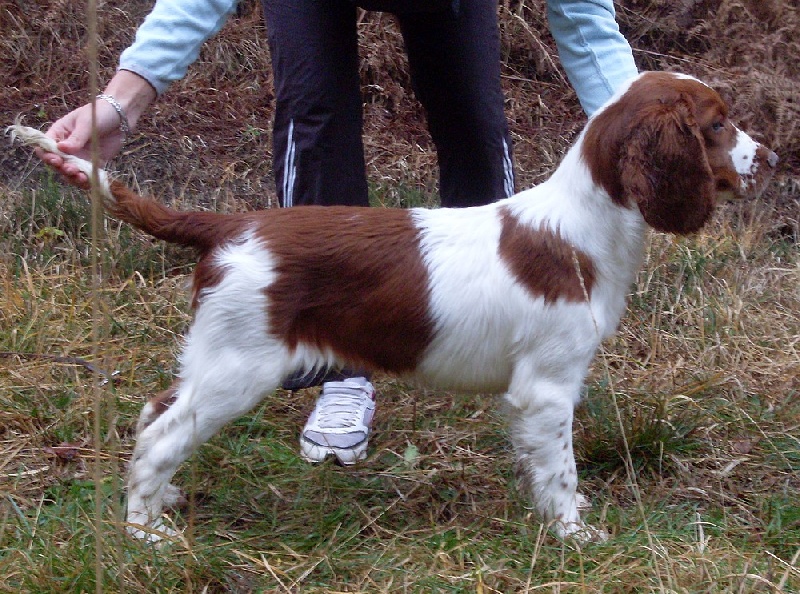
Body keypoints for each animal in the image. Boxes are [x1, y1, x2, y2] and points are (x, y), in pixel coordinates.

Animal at [9, 70, 780, 540]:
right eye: (718, 124)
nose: (772, 159)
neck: (584, 223)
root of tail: (227, 225)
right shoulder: (548, 386)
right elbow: (559, 468)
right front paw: (574, 533)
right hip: (238, 368)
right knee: (160, 435)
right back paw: (146, 532)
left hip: (213, 356)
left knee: (156, 412)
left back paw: (162, 501)